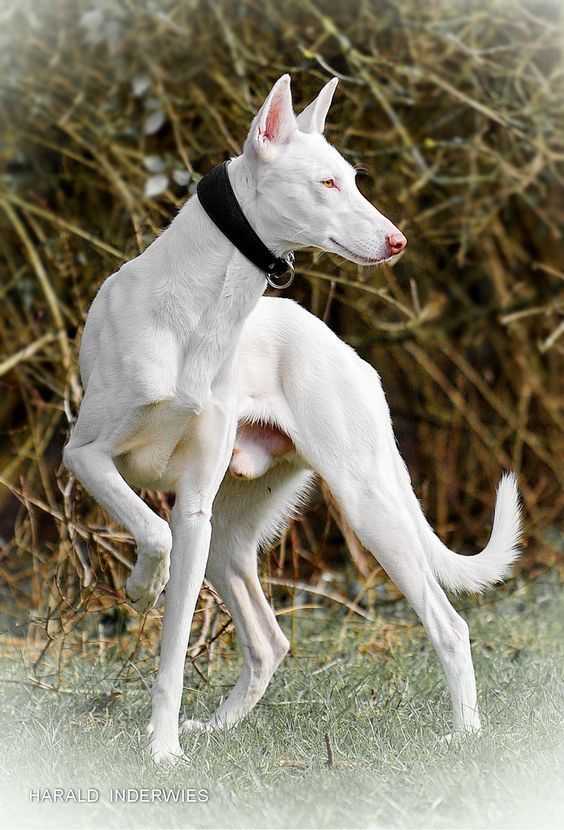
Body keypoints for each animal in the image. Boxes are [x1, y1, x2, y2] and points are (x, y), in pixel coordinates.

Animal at [64, 75, 406, 764]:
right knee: (270, 640)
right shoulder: (84, 455)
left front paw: (163, 749)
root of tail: (349, 353)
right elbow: (154, 532)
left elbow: (172, 645)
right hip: (233, 534)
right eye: (327, 183)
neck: (196, 315)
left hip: (348, 505)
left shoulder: (195, 506)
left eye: (353, 179)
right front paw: (142, 588)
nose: (397, 242)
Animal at [188, 298, 520, 740]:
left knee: (449, 627)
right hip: (219, 535)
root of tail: (350, 355)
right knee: (267, 644)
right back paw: (217, 727)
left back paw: (464, 732)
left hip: (371, 511)